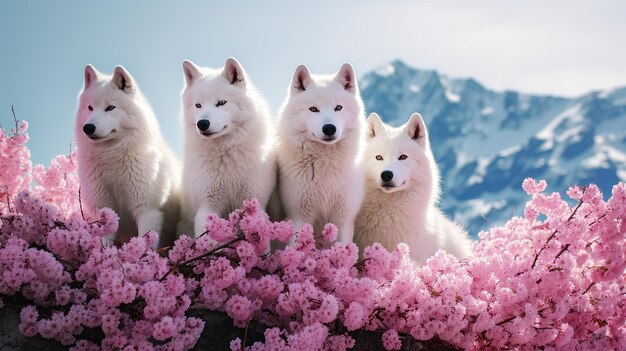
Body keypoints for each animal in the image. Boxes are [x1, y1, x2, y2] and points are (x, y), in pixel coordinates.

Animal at [75, 65, 180, 248]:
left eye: (110, 108)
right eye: (90, 108)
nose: (88, 127)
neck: (111, 157)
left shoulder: (148, 210)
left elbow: (146, 243)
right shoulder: (104, 209)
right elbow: (104, 243)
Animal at [176, 58, 272, 239]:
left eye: (221, 103)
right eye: (198, 105)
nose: (202, 124)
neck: (227, 154)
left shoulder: (254, 202)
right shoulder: (207, 206)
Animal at [274, 63, 366, 245]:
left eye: (338, 107)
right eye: (313, 109)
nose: (329, 128)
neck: (325, 164)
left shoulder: (343, 219)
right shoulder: (299, 217)